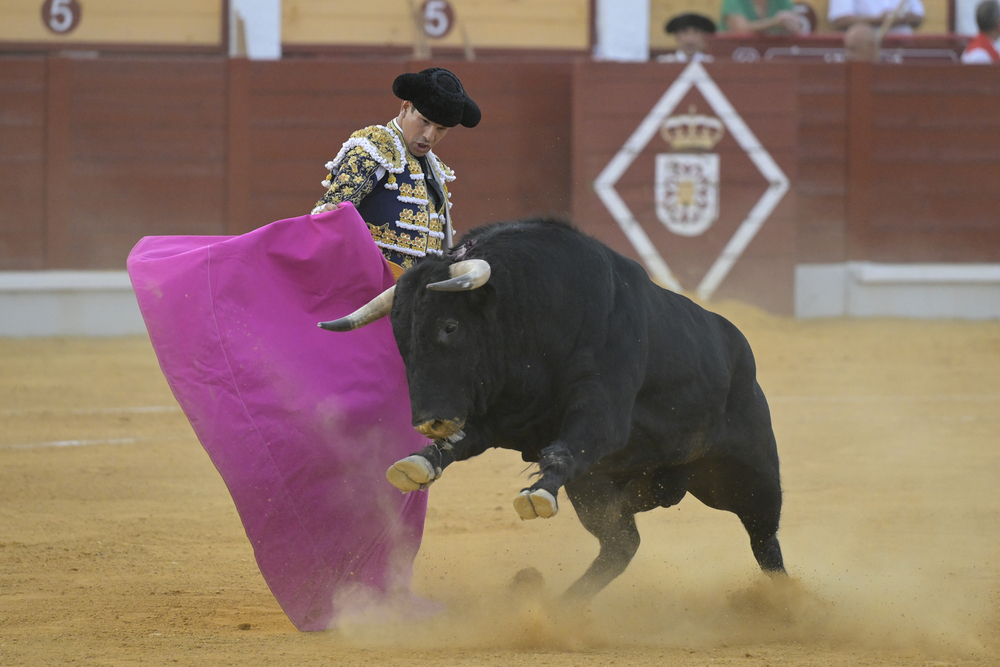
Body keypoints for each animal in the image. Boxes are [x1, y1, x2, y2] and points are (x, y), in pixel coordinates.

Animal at [318, 218, 780, 600]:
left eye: (450, 327)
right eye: (399, 336)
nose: (431, 422)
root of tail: (738, 346)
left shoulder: (602, 413)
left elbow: (564, 449)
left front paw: (537, 494)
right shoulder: (497, 420)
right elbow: (460, 444)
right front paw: (418, 462)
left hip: (749, 471)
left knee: (763, 537)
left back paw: (783, 604)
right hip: (598, 488)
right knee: (621, 543)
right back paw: (563, 608)